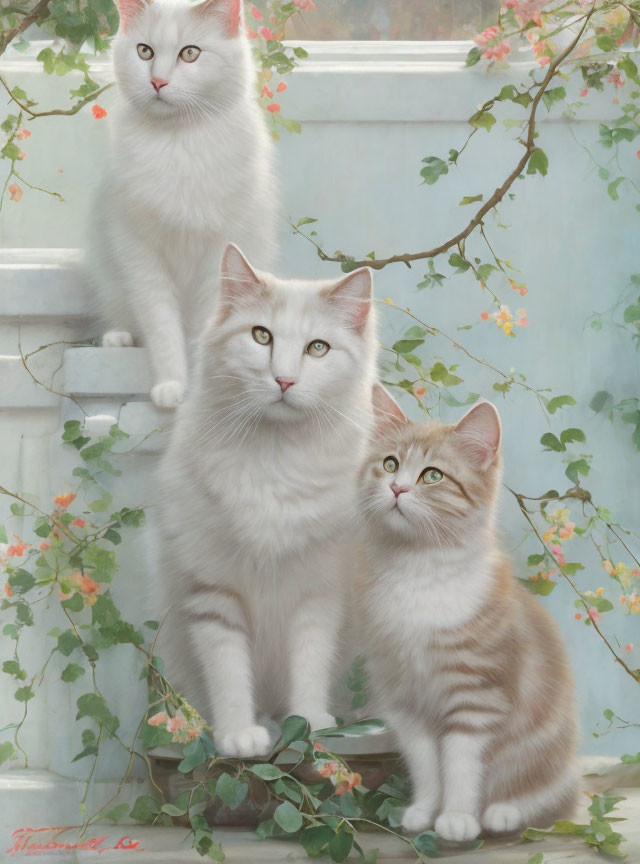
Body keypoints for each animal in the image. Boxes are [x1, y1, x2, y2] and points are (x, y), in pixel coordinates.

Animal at [88, 0, 276, 408]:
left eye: (190, 54)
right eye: (144, 51)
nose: (157, 82)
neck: (178, 141)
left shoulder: (218, 256)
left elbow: (205, 329)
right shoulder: (141, 254)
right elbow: (161, 328)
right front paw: (172, 386)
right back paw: (118, 337)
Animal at [153, 245, 378, 756]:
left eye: (318, 348)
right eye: (261, 336)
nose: (285, 381)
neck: (277, 457)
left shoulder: (318, 591)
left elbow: (309, 664)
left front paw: (311, 723)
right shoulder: (213, 591)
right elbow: (229, 671)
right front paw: (238, 735)